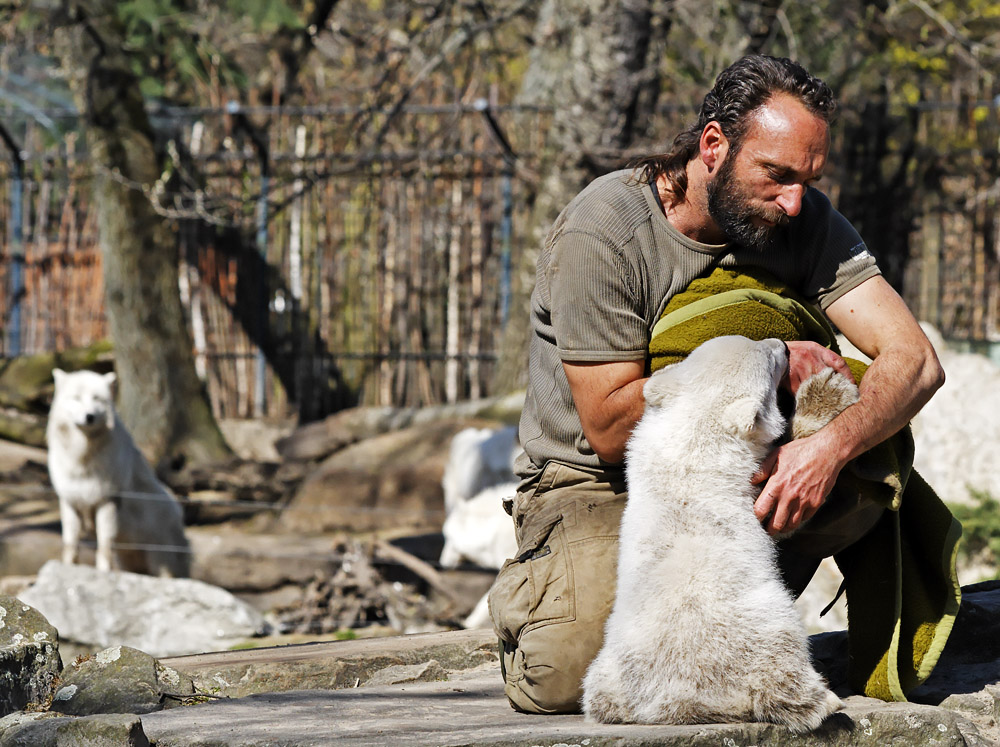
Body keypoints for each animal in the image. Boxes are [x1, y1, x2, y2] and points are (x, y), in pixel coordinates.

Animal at [45, 370, 189, 580]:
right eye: (77, 398)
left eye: (97, 399)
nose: (89, 416)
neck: (82, 458)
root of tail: (178, 509)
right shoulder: (70, 502)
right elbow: (70, 544)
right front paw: (67, 568)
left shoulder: (107, 502)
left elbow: (104, 546)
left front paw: (102, 572)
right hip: (130, 561)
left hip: (160, 562)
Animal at [580, 336, 852, 732]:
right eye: (769, 361)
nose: (783, 346)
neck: (692, 442)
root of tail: (680, 702)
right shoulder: (743, 486)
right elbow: (782, 510)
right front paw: (827, 391)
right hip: (757, 623)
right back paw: (819, 701)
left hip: (607, 669)